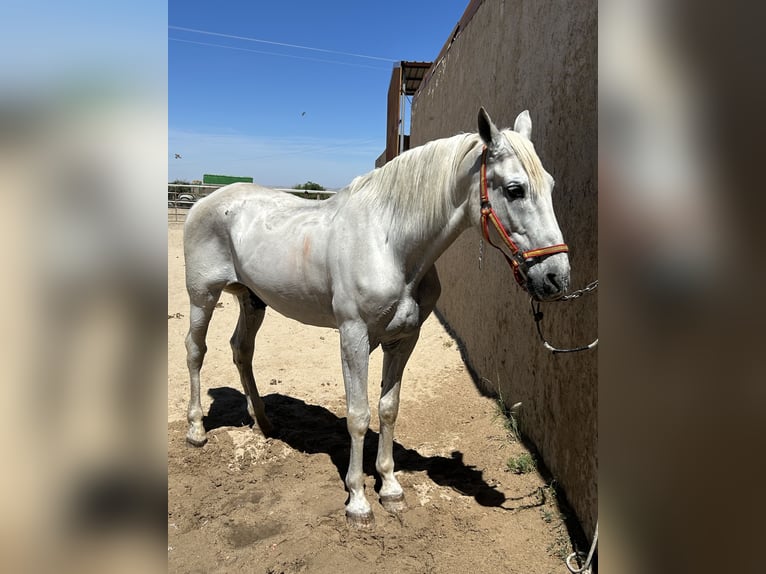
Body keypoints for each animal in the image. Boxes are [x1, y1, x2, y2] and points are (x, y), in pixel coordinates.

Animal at [182, 107, 570, 528]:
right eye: (515, 189)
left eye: (551, 185)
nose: (557, 277)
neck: (389, 243)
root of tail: (206, 201)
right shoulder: (353, 336)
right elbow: (357, 414)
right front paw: (358, 501)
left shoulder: (403, 340)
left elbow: (388, 408)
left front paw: (390, 487)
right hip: (202, 297)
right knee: (196, 351)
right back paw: (196, 430)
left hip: (251, 300)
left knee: (242, 350)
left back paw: (265, 423)